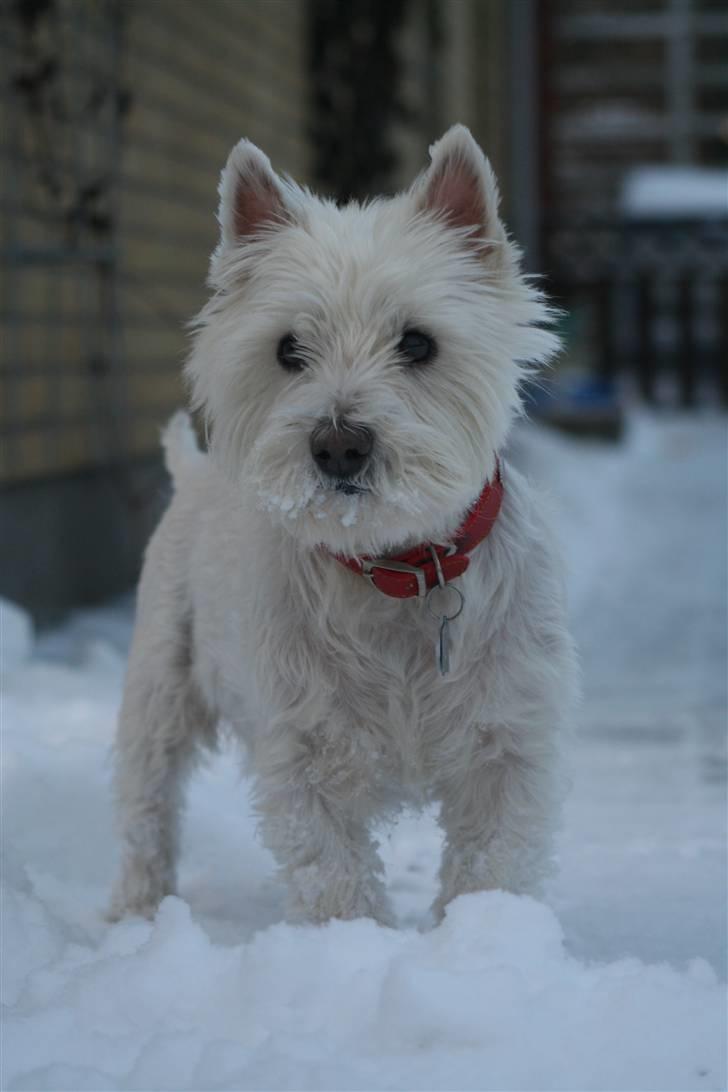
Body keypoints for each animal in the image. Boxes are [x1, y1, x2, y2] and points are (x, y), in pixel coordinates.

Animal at [108, 123, 576, 926]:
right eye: (287, 349)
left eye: (417, 342)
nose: (338, 447)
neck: (397, 568)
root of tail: (192, 470)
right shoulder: (306, 750)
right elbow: (333, 872)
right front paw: (351, 940)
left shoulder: (507, 740)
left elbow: (492, 861)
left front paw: (482, 933)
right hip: (161, 673)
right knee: (146, 800)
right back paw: (134, 911)